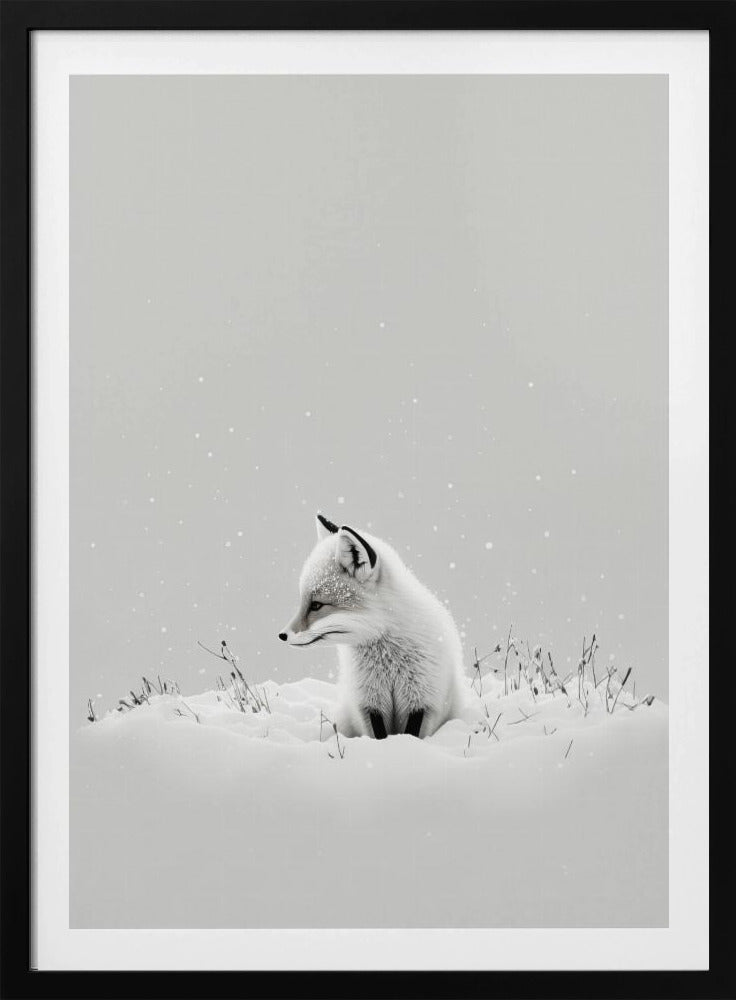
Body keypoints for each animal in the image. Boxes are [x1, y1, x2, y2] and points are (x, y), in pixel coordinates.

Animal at [278, 513, 467, 740]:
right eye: (303, 602)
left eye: (316, 605)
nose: (282, 635)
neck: (388, 660)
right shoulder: (369, 702)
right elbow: (379, 735)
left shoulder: (422, 699)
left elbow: (411, 734)